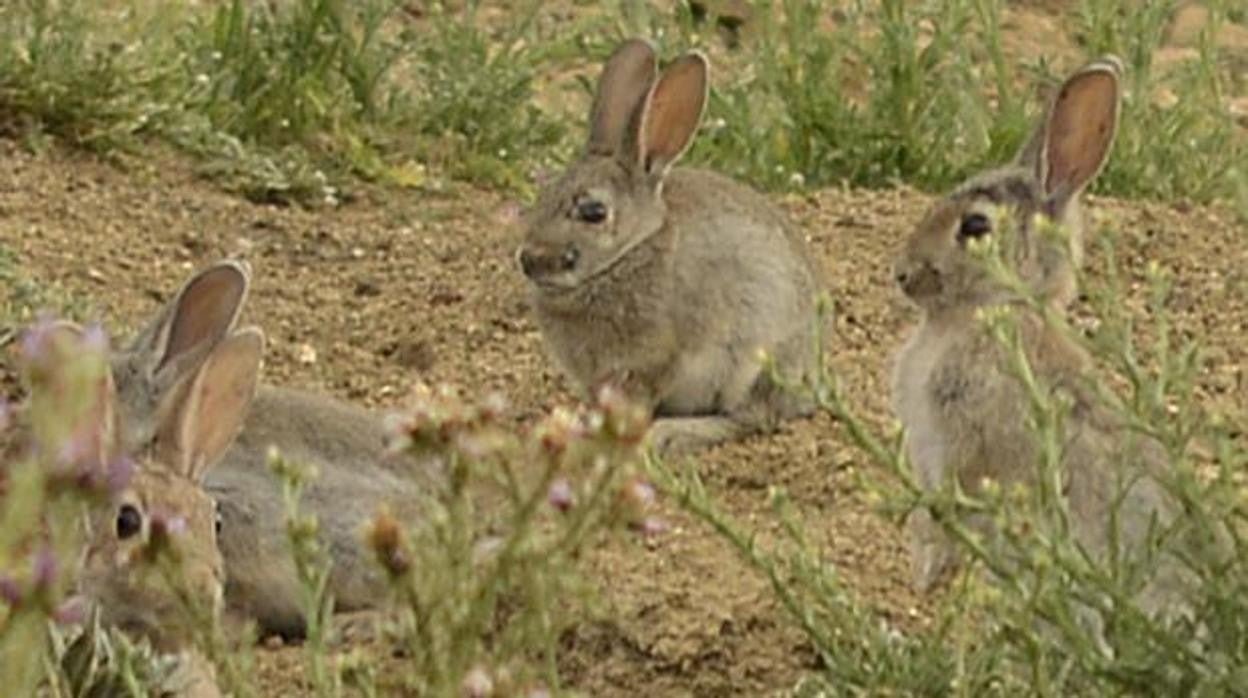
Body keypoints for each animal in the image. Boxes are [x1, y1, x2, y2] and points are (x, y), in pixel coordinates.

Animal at [511, 38, 823, 457]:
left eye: (594, 212)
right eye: (542, 196)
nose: (530, 260)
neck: (628, 255)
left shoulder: (652, 363)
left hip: (754, 362)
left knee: (752, 417)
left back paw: (672, 433)